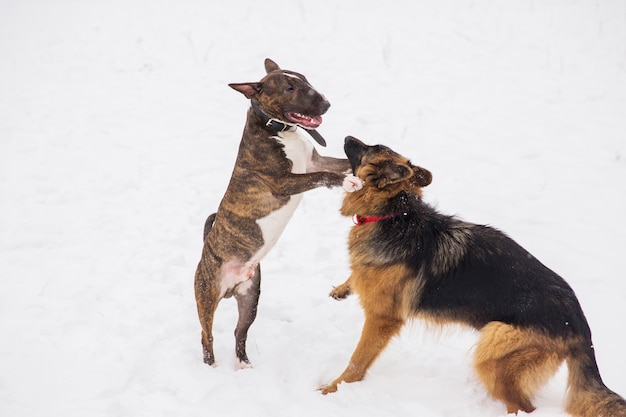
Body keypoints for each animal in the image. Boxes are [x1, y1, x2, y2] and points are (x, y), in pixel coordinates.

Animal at [195, 59, 352, 368]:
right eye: (289, 87)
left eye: (305, 78)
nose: (327, 104)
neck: (280, 130)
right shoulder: (284, 182)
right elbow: (325, 177)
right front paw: (352, 182)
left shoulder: (315, 160)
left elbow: (341, 164)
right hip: (206, 296)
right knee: (207, 336)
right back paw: (211, 366)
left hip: (250, 296)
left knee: (239, 332)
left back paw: (244, 364)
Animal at [322, 136, 624, 416]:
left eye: (370, 148)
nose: (348, 137)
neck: (396, 213)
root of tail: (580, 323)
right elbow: (356, 275)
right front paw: (344, 287)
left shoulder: (382, 319)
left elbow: (356, 361)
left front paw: (332, 389)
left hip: (493, 351)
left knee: (523, 406)